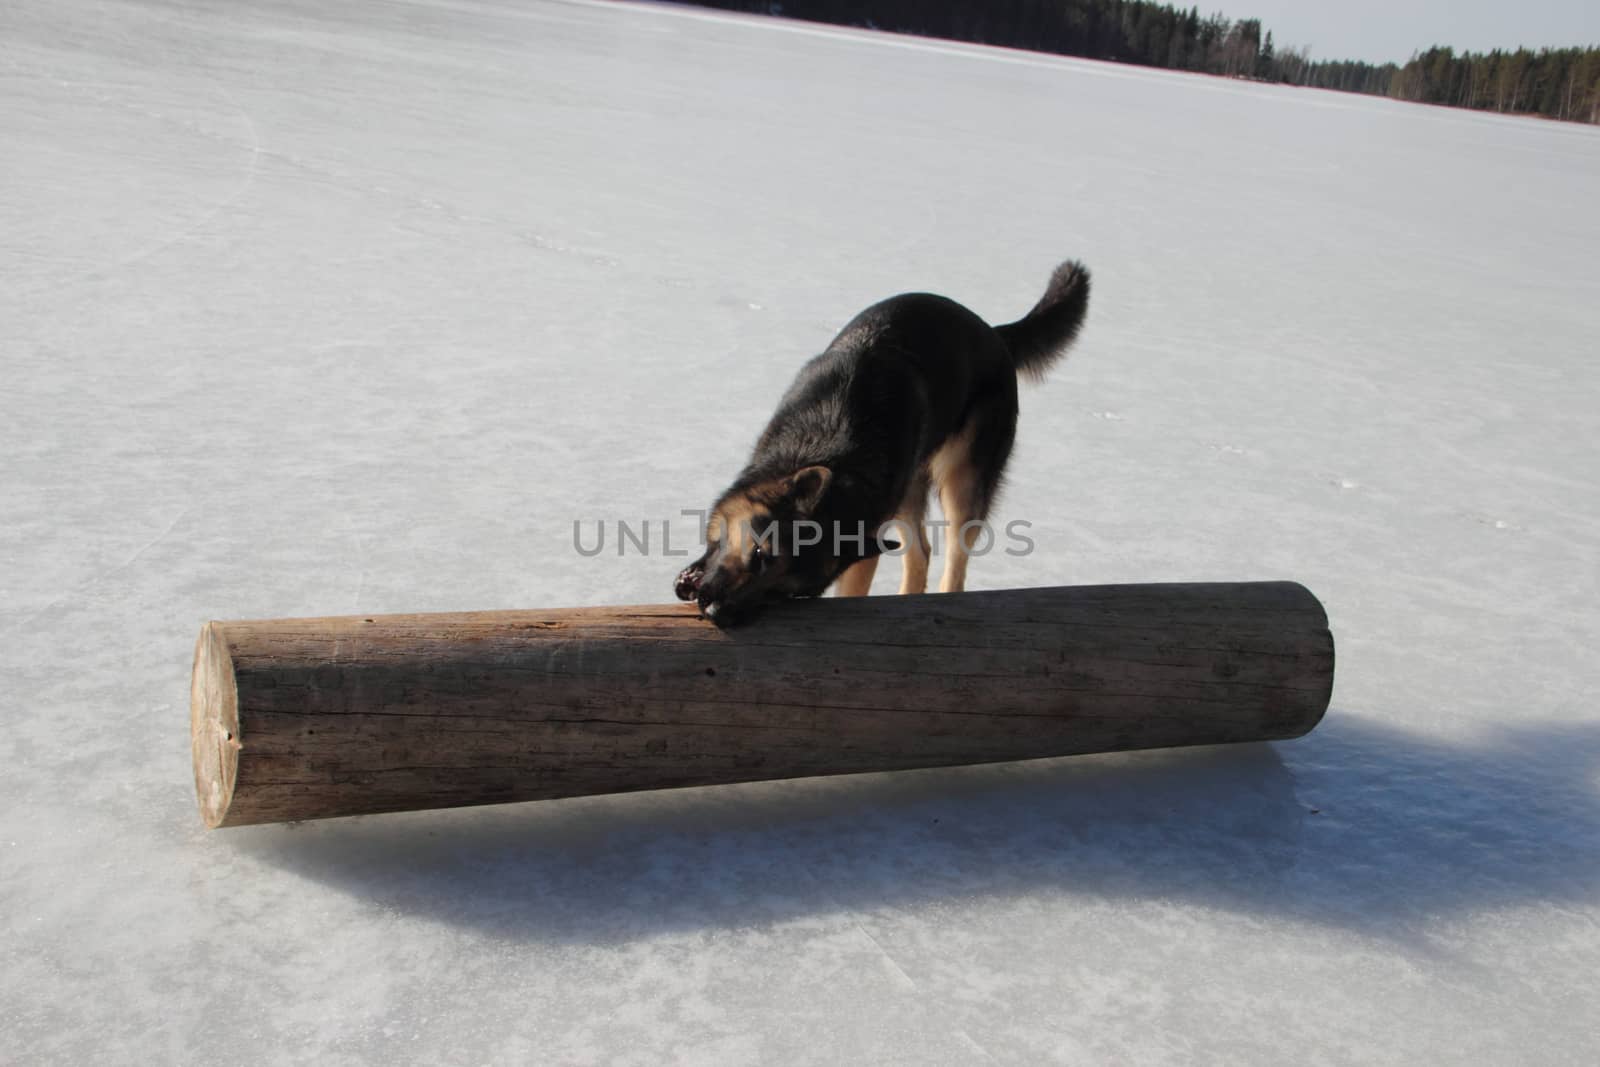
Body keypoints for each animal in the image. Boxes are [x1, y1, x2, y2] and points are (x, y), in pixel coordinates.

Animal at [668, 260, 1094, 627]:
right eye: (758, 554)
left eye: (782, 595)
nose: (717, 613)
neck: (837, 459)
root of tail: (993, 331)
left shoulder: (863, 548)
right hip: (908, 488)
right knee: (921, 552)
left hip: (962, 479)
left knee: (955, 556)